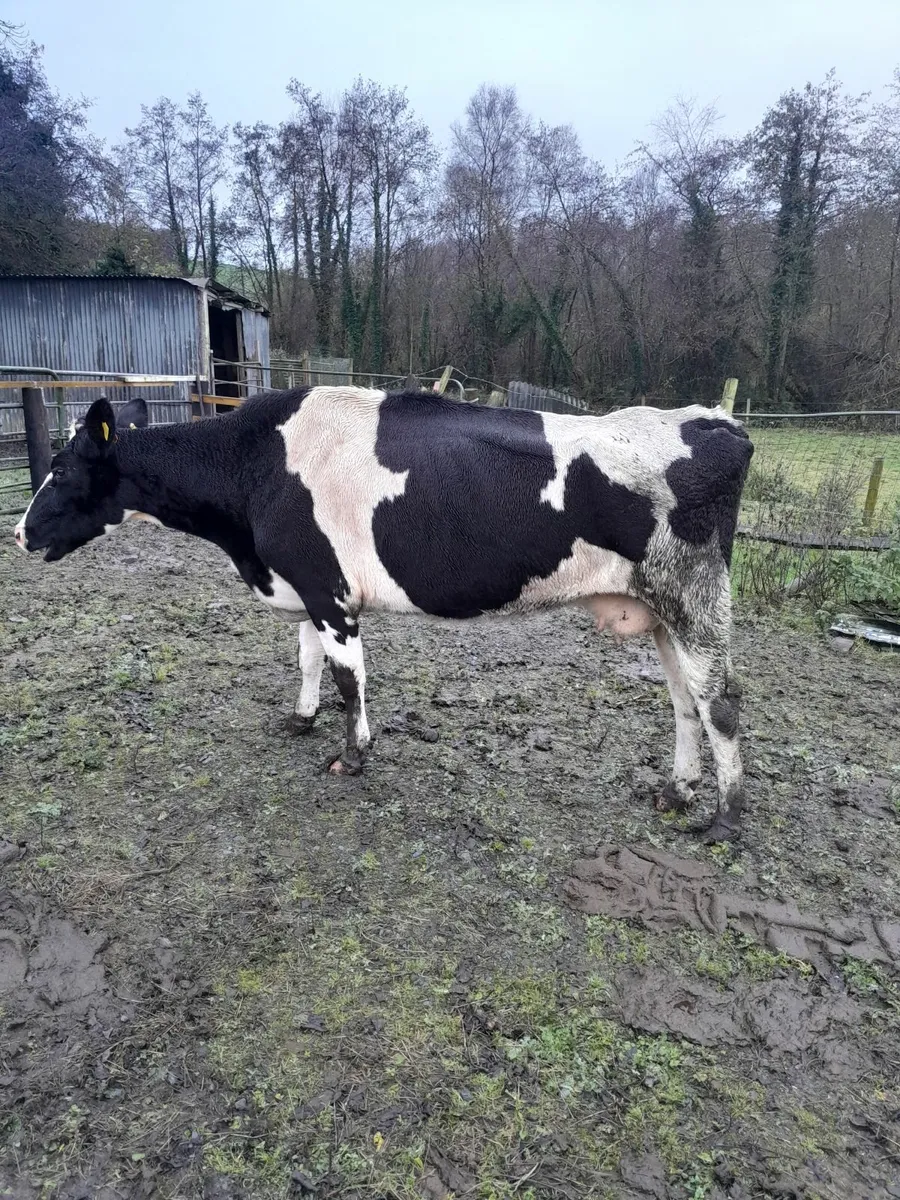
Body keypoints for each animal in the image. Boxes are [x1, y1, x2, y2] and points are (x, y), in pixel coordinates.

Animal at [14, 386, 754, 842]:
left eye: (62, 470)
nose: (18, 533)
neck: (254, 468)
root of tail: (718, 422)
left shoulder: (328, 590)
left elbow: (349, 678)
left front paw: (353, 755)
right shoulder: (308, 588)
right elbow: (308, 659)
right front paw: (301, 719)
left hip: (695, 599)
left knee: (720, 703)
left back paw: (724, 821)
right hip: (660, 610)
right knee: (684, 701)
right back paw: (677, 791)